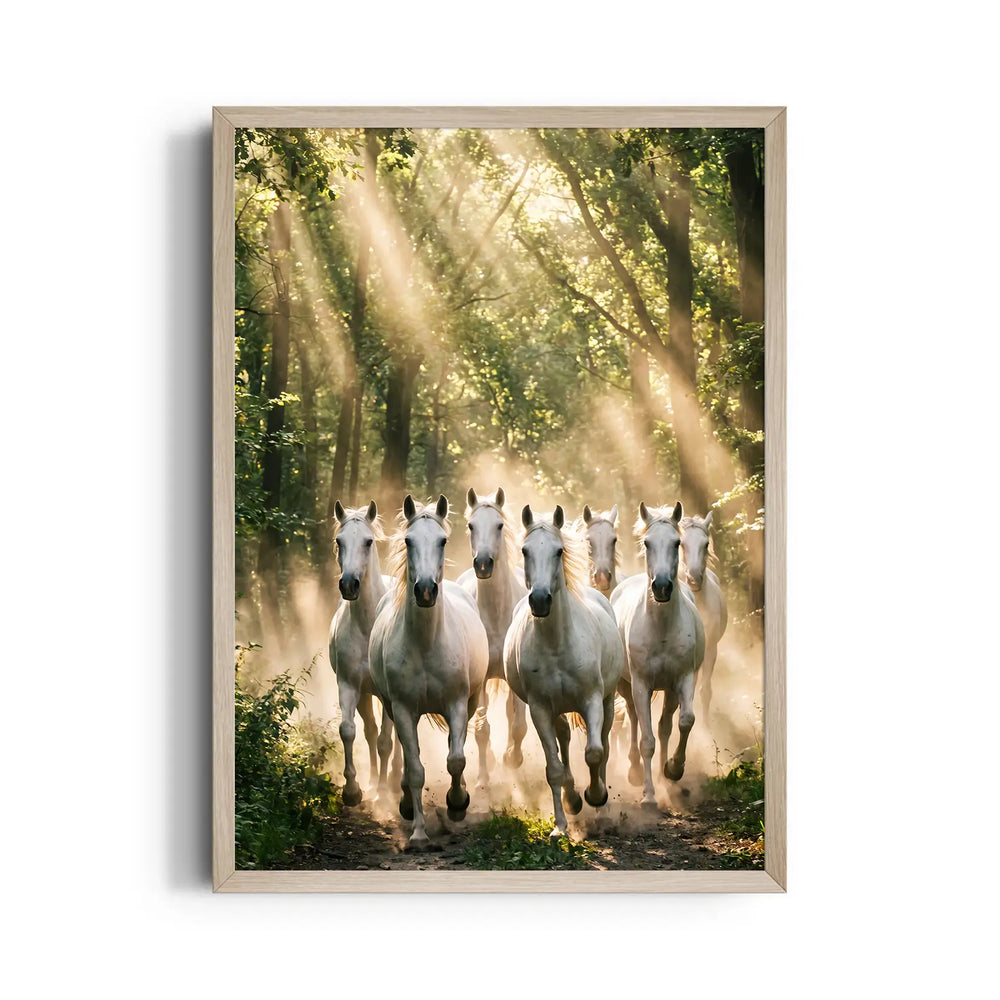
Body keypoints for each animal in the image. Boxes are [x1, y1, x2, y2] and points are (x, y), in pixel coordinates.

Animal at [369, 495, 489, 848]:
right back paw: (407, 804)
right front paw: (419, 832)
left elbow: (456, 759)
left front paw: (458, 804)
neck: (425, 643)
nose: (425, 590)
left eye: (442, 540)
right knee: (406, 755)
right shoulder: (403, 709)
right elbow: (415, 769)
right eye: (408, 541)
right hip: (395, 710)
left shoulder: (458, 704)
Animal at [504, 505, 624, 839]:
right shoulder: (540, 710)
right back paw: (572, 798)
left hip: (607, 702)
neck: (557, 644)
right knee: (565, 740)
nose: (540, 600)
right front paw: (560, 825)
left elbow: (595, 752)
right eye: (525, 550)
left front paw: (596, 796)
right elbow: (554, 768)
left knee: (604, 743)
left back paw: (600, 803)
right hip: (558, 709)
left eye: (558, 551)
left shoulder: (592, 700)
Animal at [612, 501, 705, 806]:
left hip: (669, 690)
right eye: (647, 543)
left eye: (677, 543)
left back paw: (668, 779)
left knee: (665, 726)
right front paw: (649, 796)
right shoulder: (641, 684)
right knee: (633, 719)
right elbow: (646, 741)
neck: (661, 628)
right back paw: (634, 771)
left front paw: (674, 769)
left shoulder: (683, 679)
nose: (662, 586)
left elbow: (685, 722)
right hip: (627, 685)